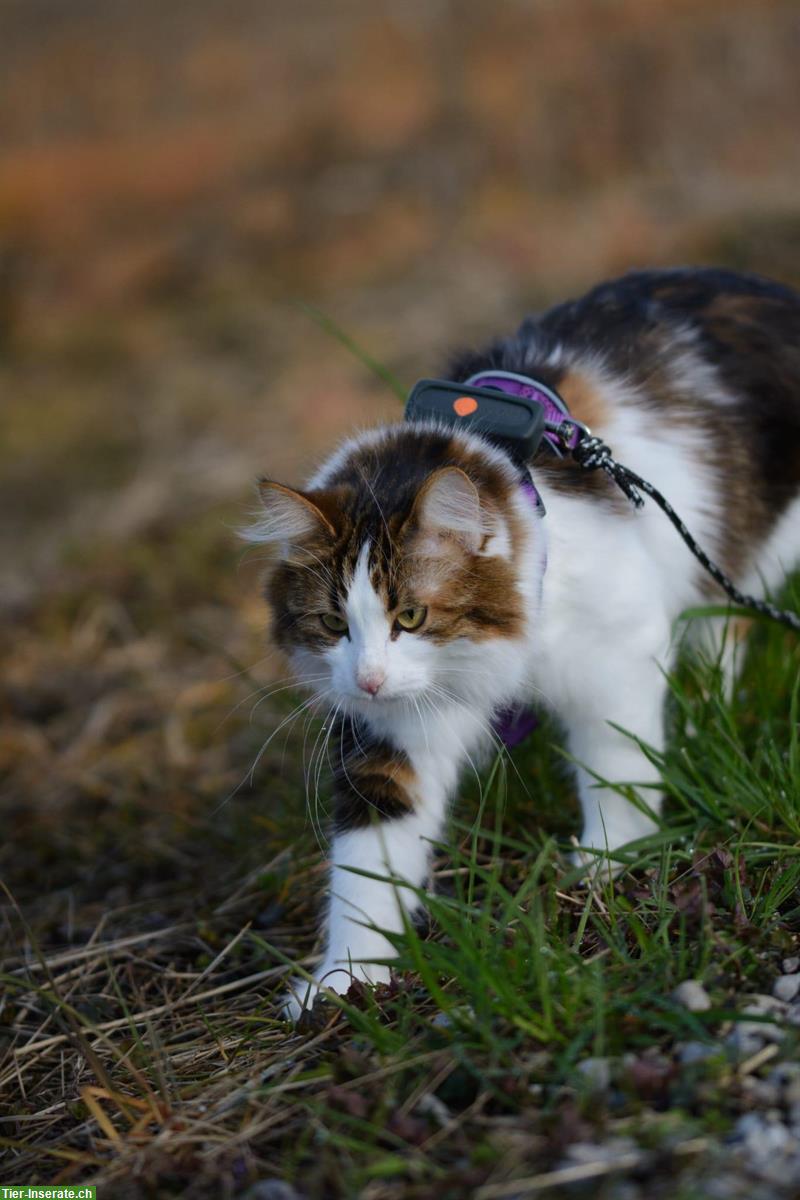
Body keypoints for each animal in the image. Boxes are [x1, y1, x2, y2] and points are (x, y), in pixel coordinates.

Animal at [244, 267, 800, 1017]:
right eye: (334, 626)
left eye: (411, 616)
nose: (367, 681)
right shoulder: (392, 738)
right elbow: (367, 871)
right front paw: (344, 982)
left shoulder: (615, 655)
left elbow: (616, 769)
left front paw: (609, 862)